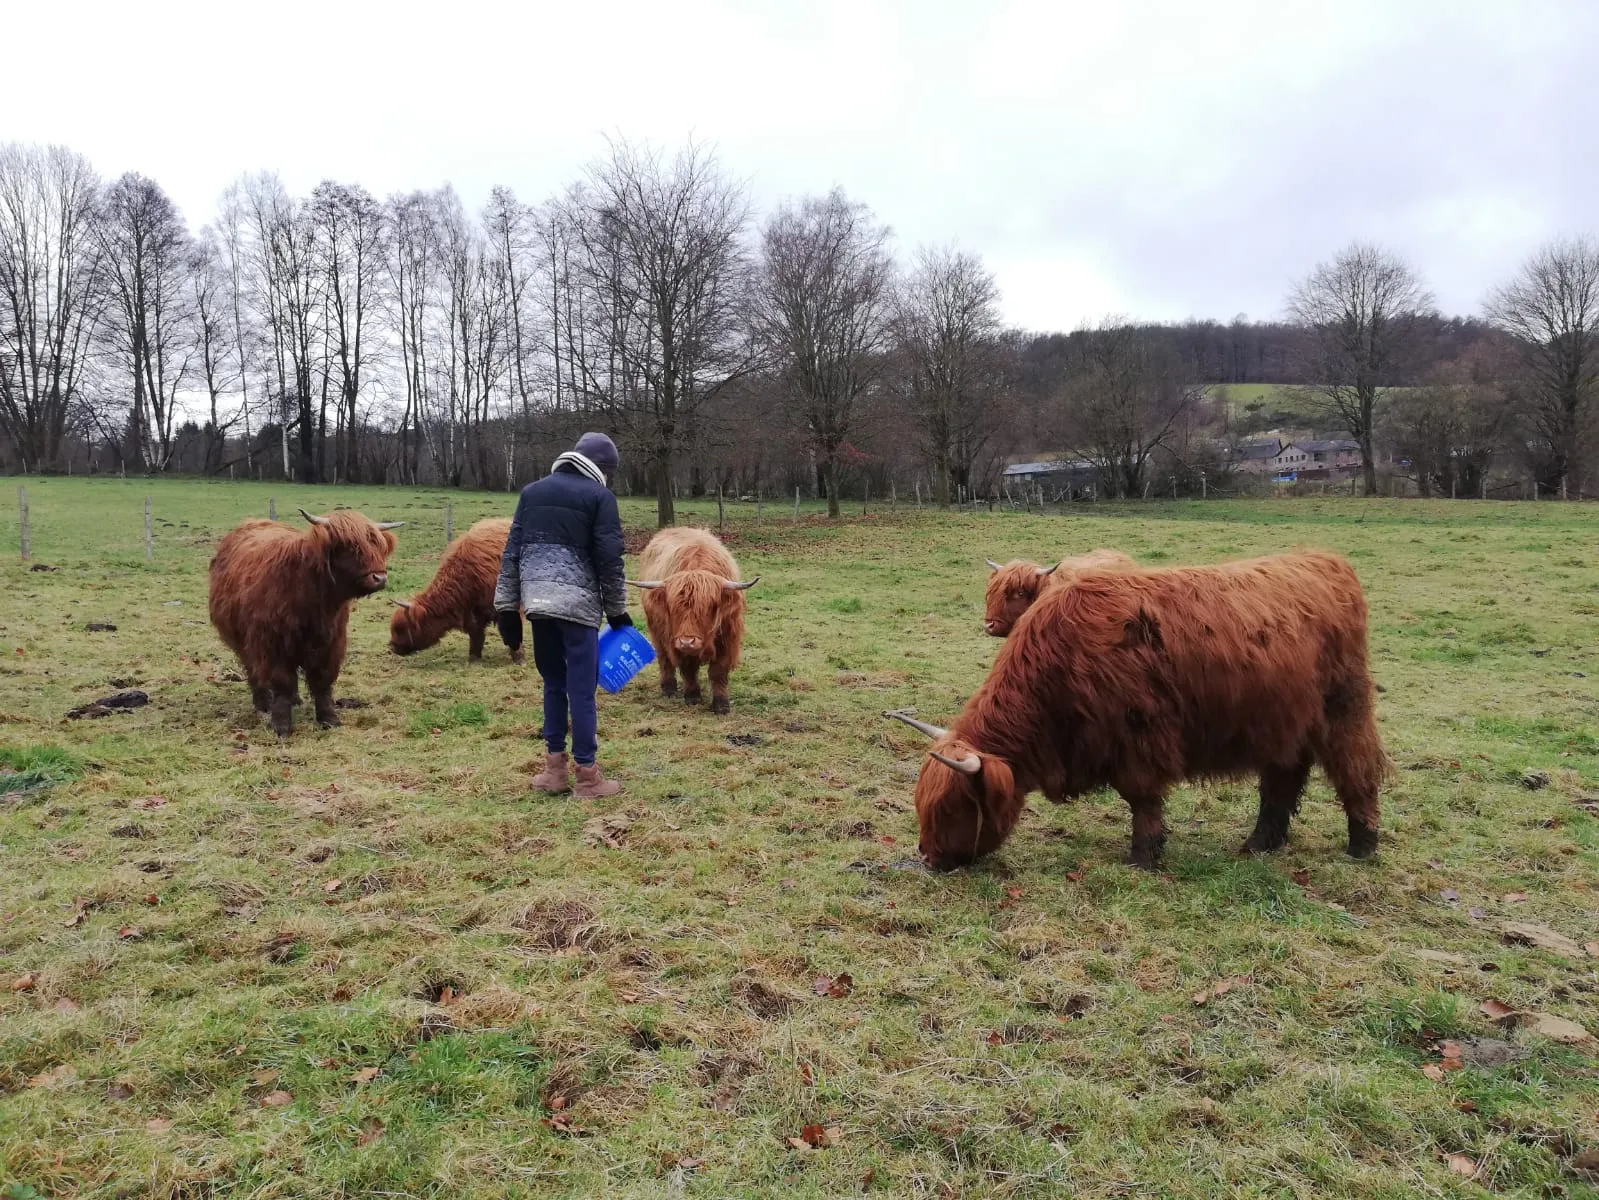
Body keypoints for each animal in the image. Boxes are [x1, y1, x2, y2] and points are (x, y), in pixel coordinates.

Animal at [209, 508, 403, 736]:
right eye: (349, 546)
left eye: (378, 545)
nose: (380, 578)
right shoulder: (273, 644)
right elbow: (281, 683)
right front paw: (281, 726)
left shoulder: (331, 642)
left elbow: (323, 682)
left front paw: (329, 718)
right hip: (243, 640)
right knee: (253, 670)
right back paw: (263, 703)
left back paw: (295, 700)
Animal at [390, 518, 523, 664]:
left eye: (402, 628)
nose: (392, 647)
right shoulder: (472, 612)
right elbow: (476, 634)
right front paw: (473, 659)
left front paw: (519, 659)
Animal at [627, 527, 758, 715]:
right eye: (673, 607)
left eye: (708, 607)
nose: (687, 641)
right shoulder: (675, 639)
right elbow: (688, 667)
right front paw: (692, 696)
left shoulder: (727, 637)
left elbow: (718, 671)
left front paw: (721, 704)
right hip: (657, 630)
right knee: (664, 658)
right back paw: (668, 688)